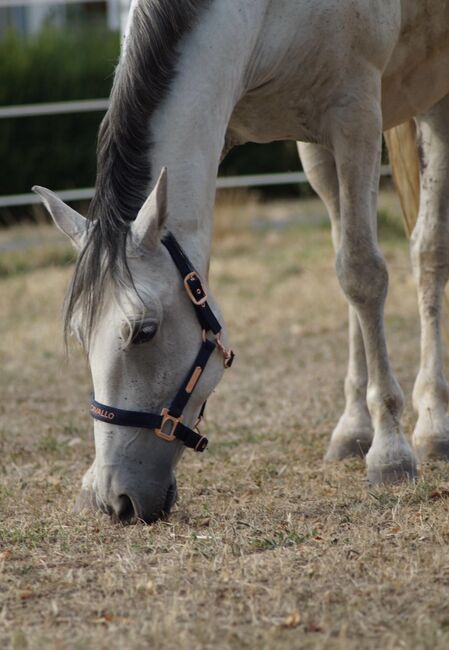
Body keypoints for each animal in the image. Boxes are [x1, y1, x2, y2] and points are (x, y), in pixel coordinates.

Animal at [33, 1, 448, 520]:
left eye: (144, 331)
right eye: (80, 335)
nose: (117, 499)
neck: (266, 17)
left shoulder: (356, 119)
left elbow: (363, 274)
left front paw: (391, 451)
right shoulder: (280, 133)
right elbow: (347, 272)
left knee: (427, 250)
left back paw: (433, 424)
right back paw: (354, 428)